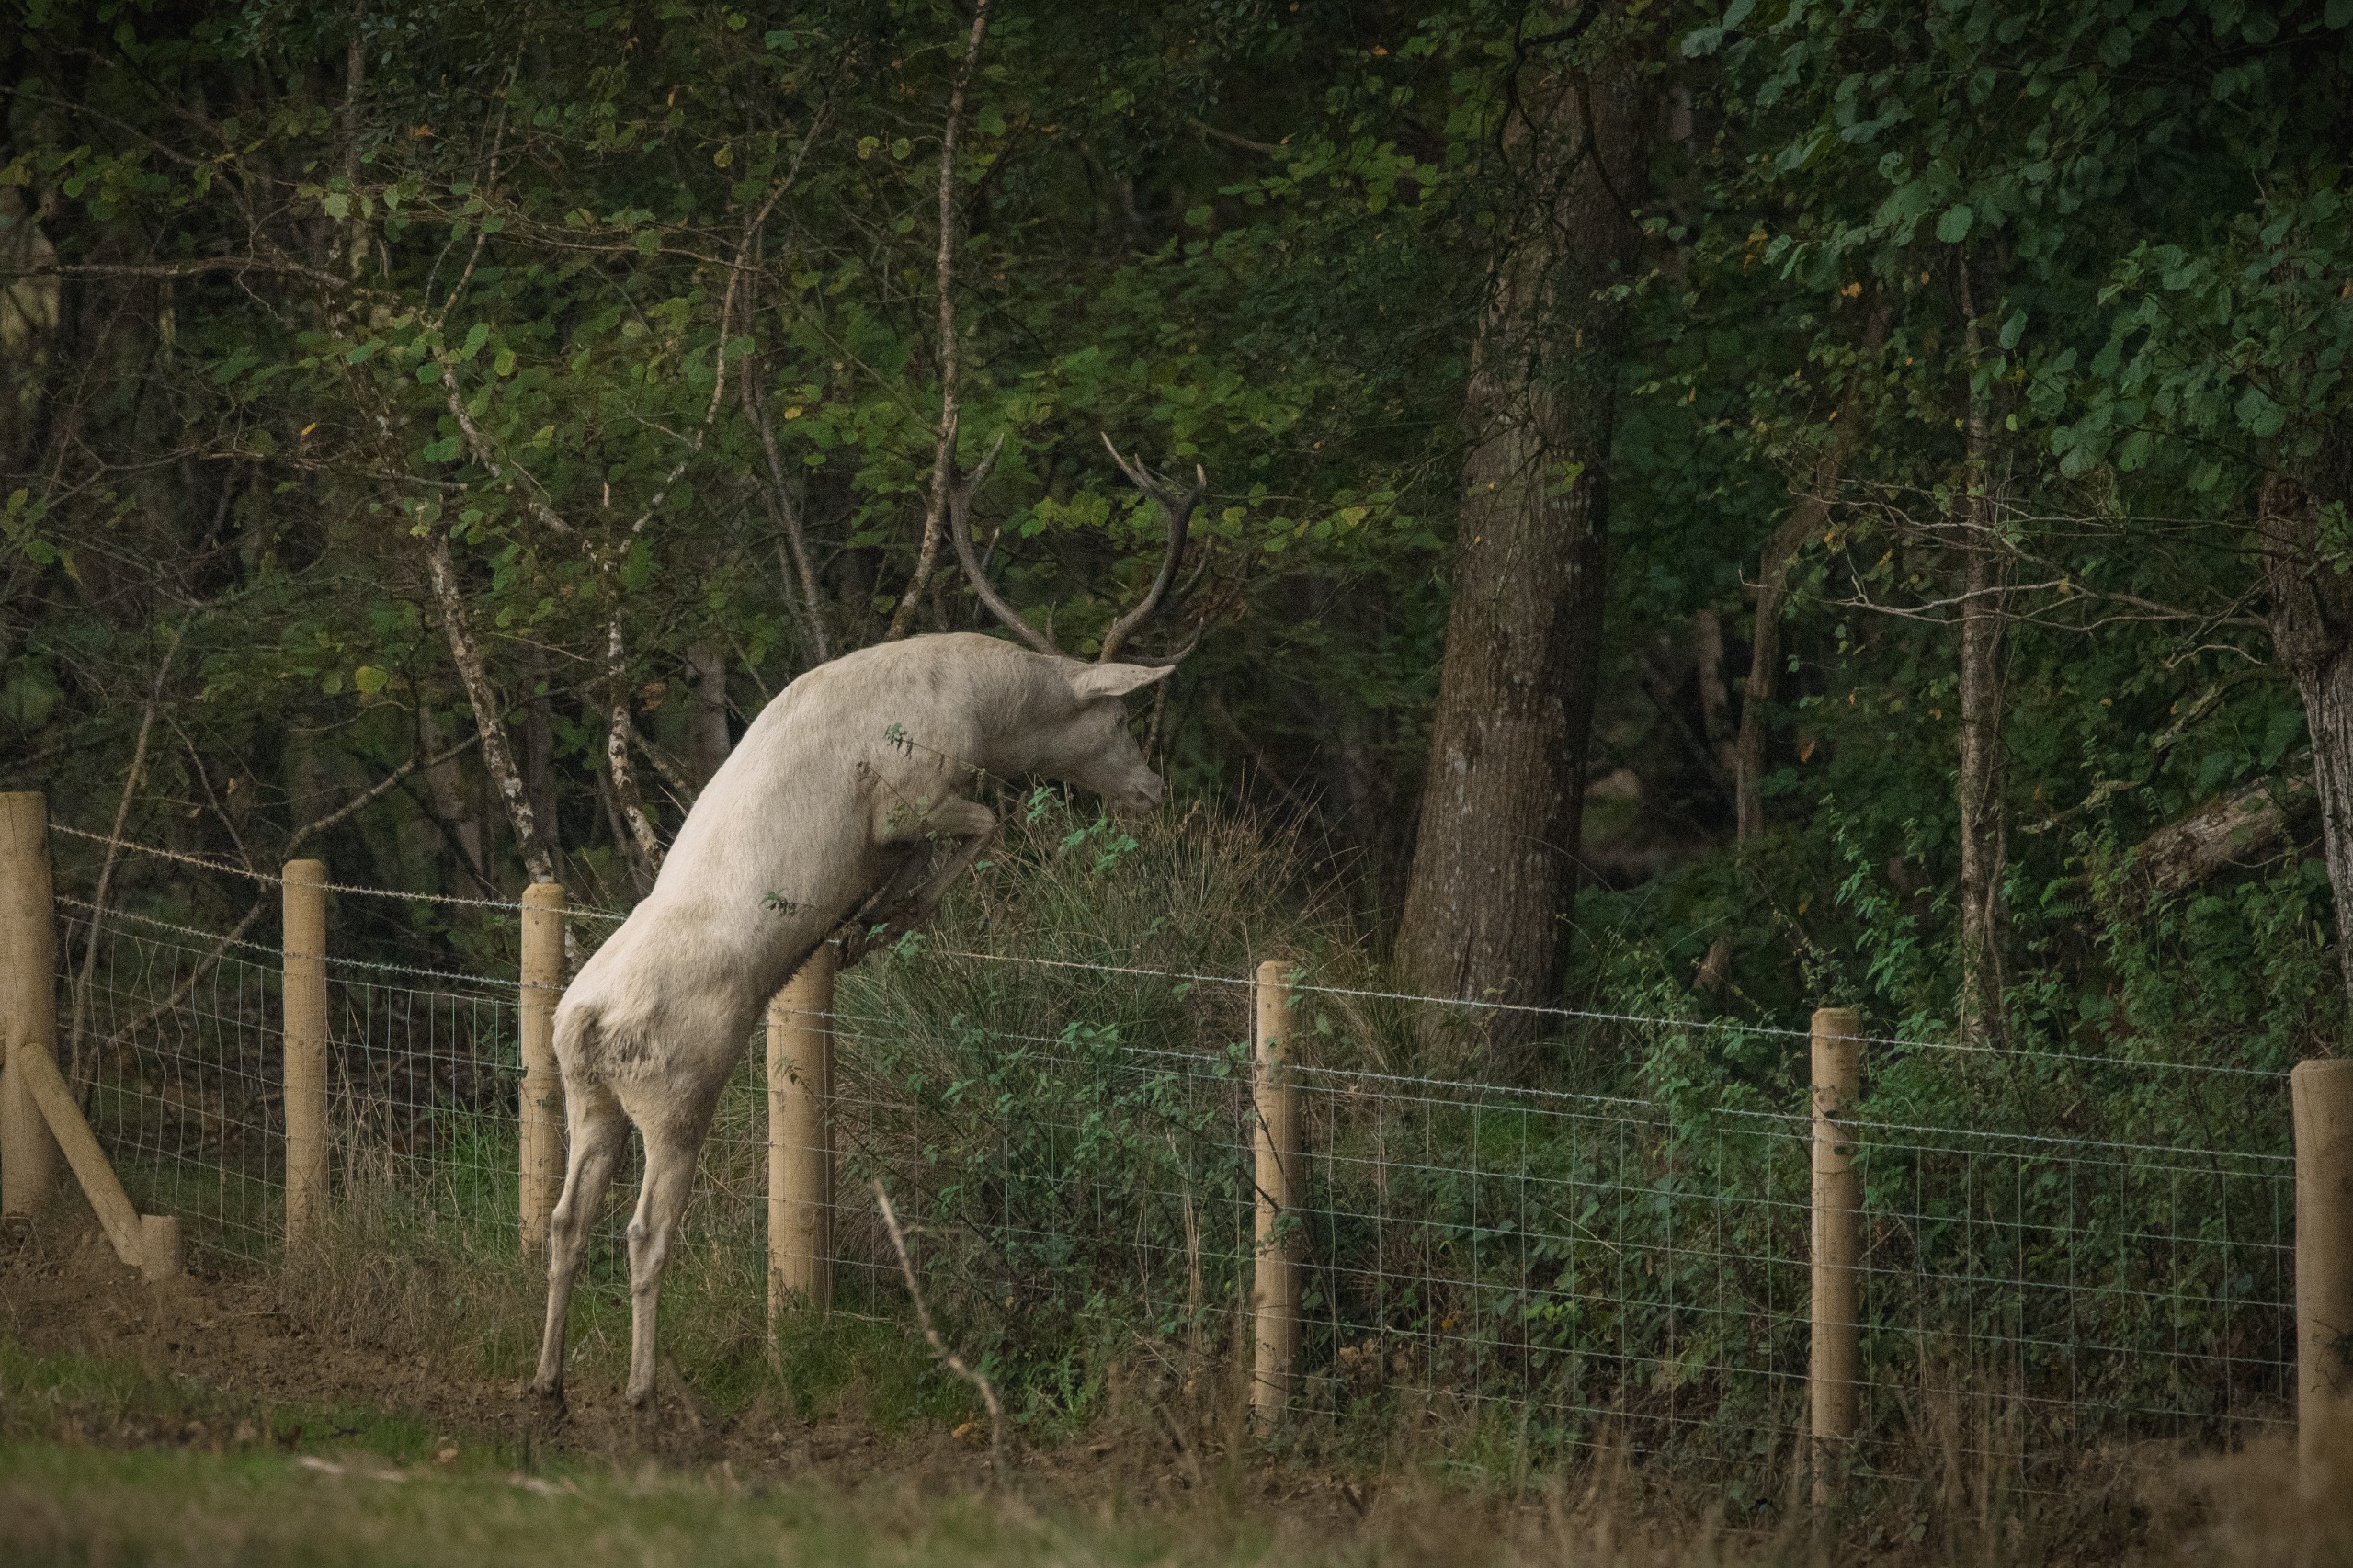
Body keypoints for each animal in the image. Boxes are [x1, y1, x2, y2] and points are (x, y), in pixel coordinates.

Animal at [530, 437, 1207, 1413]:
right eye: (1116, 716)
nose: (1152, 790)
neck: (977, 706)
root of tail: (582, 1022)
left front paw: (865, 925)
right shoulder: (908, 793)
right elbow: (979, 826)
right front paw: (878, 922)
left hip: (588, 1095)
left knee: (564, 1219)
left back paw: (548, 1379)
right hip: (678, 1091)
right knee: (644, 1231)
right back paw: (640, 1389)